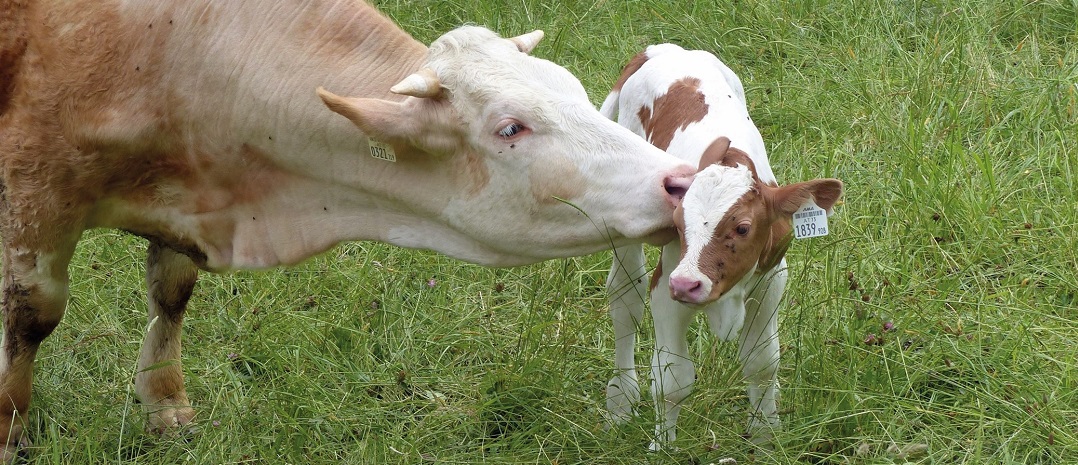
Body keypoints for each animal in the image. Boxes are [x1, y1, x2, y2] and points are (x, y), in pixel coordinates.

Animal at [0, 0, 698, 459]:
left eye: (573, 88)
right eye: (510, 128)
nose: (679, 180)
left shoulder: (184, 203)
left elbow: (171, 292)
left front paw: (165, 405)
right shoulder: (35, 184)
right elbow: (32, 314)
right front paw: (10, 429)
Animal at [599, 44, 840, 450]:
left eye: (742, 228)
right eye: (678, 223)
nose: (687, 284)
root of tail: (661, 49)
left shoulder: (771, 280)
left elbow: (761, 363)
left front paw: (765, 434)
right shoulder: (668, 286)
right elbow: (672, 380)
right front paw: (663, 446)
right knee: (625, 299)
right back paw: (620, 400)